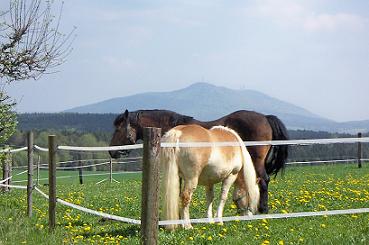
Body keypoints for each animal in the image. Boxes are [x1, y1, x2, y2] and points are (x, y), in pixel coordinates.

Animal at [109, 109, 288, 212]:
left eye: (118, 129)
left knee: (263, 180)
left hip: (256, 161)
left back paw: (262, 209)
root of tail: (265, 117)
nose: (111, 151)